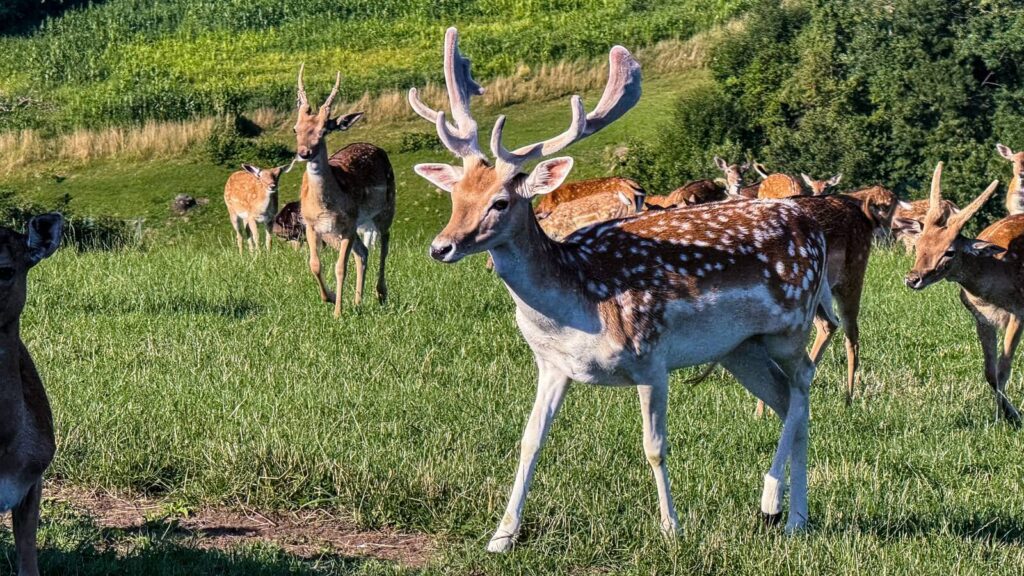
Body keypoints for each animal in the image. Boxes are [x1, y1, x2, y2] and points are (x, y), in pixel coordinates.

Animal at [293, 66, 396, 317]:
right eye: (295, 129)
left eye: (323, 131)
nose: (304, 153)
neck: (325, 206)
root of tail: (376, 147)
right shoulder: (311, 225)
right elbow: (314, 264)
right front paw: (329, 298)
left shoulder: (348, 224)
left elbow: (340, 267)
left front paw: (338, 313)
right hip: (350, 228)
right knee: (363, 252)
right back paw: (358, 302)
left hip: (387, 208)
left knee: (385, 243)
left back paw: (380, 293)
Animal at [410, 27, 834, 551]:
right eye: (455, 195)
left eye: (500, 202)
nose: (441, 246)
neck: (577, 304)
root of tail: (811, 225)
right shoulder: (552, 365)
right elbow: (530, 440)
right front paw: (502, 535)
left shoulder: (651, 356)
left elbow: (654, 446)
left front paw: (672, 529)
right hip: (742, 348)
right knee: (785, 399)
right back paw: (793, 514)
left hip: (791, 324)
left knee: (803, 386)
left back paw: (777, 506)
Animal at [904, 162, 1022, 423]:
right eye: (919, 244)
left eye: (949, 251)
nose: (912, 278)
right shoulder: (982, 319)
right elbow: (991, 373)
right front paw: (1003, 417)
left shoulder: (1020, 312)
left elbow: (1004, 369)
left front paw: (1014, 416)